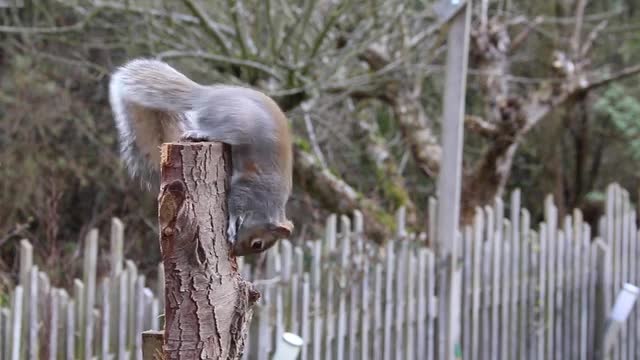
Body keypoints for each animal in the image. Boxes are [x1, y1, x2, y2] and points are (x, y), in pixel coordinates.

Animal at [107, 59, 292, 256]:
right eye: (258, 244)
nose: (235, 253)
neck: (268, 203)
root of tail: (205, 97)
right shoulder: (248, 188)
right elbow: (235, 204)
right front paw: (232, 226)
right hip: (230, 124)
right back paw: (199, 134)